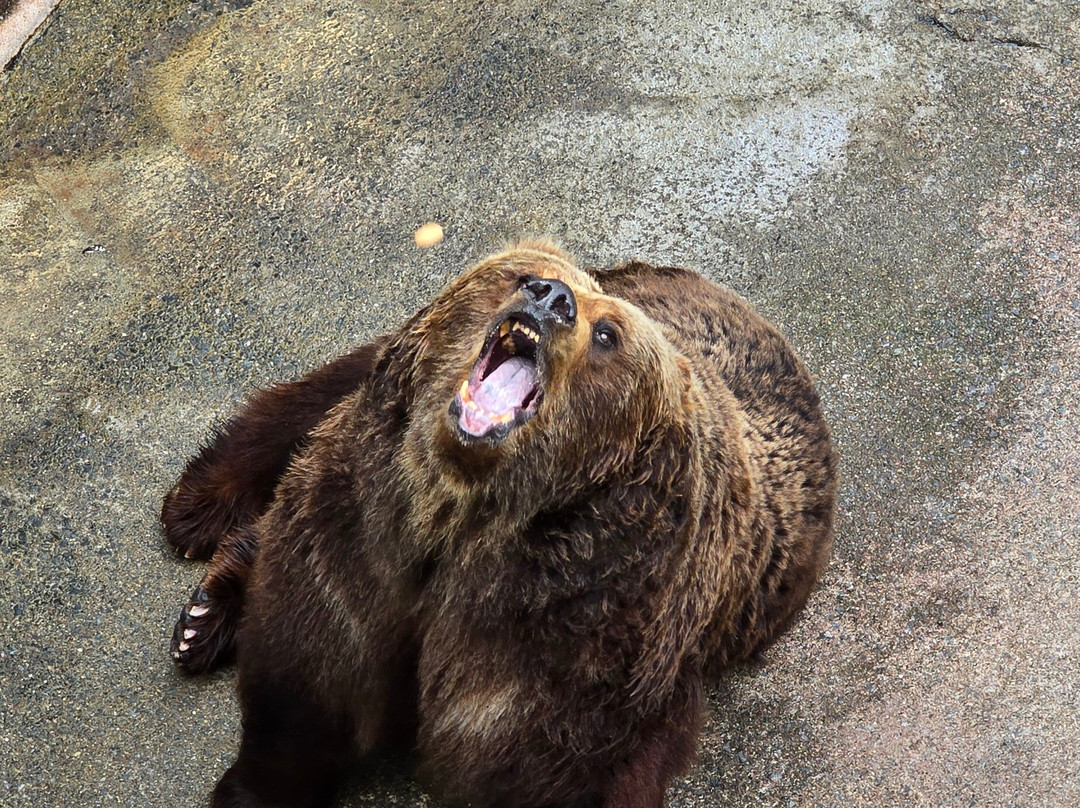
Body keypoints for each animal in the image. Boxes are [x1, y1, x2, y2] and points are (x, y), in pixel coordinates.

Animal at [162, 241, 837, 808]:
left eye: (608, 335)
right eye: (522, 274)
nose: (551, 297)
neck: (458, 518)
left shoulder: (575, 648)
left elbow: (553, 766)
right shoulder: (357, 546)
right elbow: (305, 684)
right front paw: (253, 788)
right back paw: (198, 552)